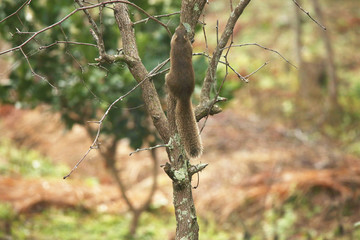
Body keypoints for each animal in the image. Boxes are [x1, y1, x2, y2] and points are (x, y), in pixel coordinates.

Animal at [166, 23, 202, 158]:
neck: (181, 42)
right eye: (183, 30)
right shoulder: (188, 47)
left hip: (167, 78)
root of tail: (184, 96)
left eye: (177, 30)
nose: (181, 24)